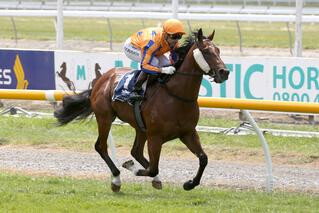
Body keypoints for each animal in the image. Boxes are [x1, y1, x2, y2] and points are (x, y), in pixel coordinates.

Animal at [54, 27, 230, 192]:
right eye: (206, 51)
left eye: (218, 50)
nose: (225, 72)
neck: (176, 95)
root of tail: (101, 79)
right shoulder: (155, 137)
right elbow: (152, 168)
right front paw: (131, 167)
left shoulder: (188, 132)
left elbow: (203, 158)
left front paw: (190, 183)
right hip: (105, 118)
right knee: (101, 146)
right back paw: (116, 179)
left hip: (140, 127)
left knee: (136, 151)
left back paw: (153, 179)